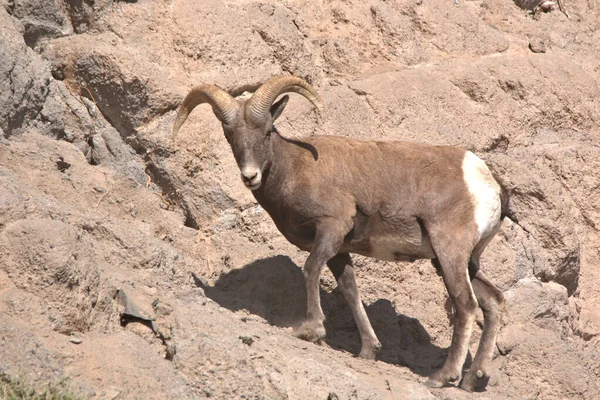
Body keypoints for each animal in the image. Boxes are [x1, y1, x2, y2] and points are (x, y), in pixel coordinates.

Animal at [171, 75, 508, 390]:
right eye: (230, 136)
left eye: (266, 131)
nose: (250, 176)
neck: (296, 169)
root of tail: (485, 181)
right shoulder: (340, 250)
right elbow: (350, 291)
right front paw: (368, 351)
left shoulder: (331, 228)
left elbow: (310, 269)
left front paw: (311, 329)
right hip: (460, 260)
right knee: (493, 301)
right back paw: (470, 379)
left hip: (449, 251)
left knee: (465, 305)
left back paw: (442, 377)